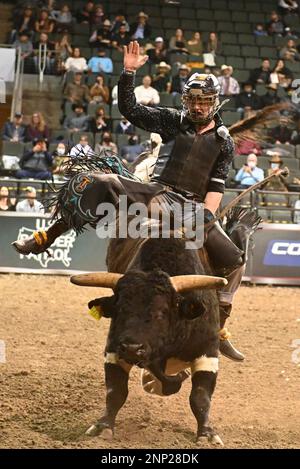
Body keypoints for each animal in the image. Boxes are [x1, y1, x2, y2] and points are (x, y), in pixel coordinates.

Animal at [71, 236, 229, 444]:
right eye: (119, 309)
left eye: (161, 313)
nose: (131, 348)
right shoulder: (113, 350)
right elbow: (115, 392)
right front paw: (102, 426)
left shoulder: (208, 352)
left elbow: (200, 397)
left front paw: (207, 434)